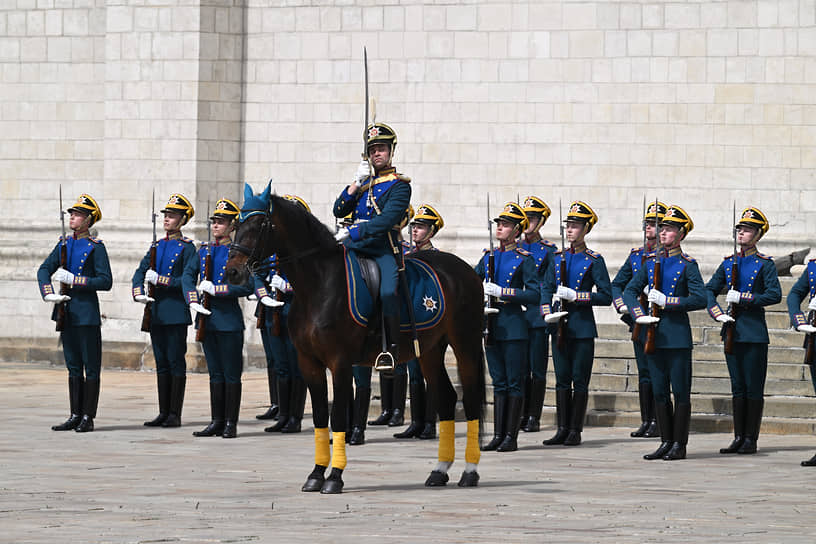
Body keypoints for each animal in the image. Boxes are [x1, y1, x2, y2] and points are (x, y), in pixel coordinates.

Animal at [225, 187, 484, 492]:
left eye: (258, 225)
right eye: (238, 224)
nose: (232, 272)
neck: (318, 286)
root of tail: (464, 268)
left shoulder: (340, 362)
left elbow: (338, 416)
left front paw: (334, 477)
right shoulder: (309, 362)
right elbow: (320, 417)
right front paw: (316, 474)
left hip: (465, 343)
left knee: (470, 398)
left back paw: (469, 472)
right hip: (429, 350)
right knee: (446, 398)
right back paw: (439, 470)